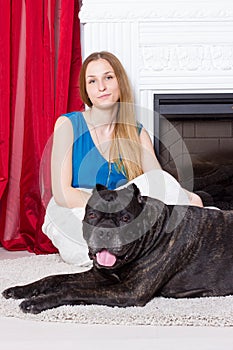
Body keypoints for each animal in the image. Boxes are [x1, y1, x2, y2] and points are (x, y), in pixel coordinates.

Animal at [1, 183, 233, 314]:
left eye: (125, 218)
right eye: (92, 215)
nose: (105, 232)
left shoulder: (129, 291)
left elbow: (71, 289)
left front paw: (37, 301)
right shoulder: (100, 275)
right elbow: (53, 278)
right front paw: (20, 290)